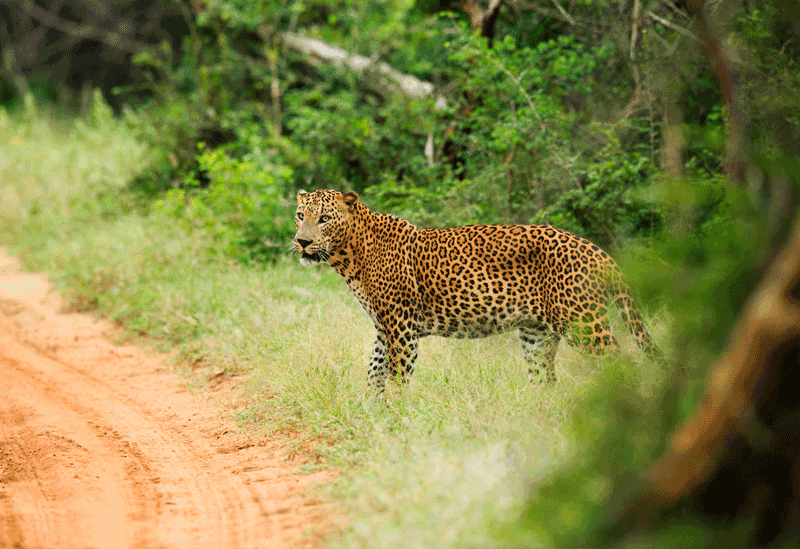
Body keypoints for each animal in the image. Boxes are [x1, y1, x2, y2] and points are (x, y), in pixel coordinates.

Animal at [292, 188, 664, 390]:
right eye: (299, 215)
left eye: (324, 218)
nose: (302, 242)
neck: (349, 255)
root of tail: (598, 251)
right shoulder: (384, 328)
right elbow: (374, 373)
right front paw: (371, 414)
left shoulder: (401, 326)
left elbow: (397, 376)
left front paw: (398, 418)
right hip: (537, 333)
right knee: (545, 379)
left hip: (583, 325)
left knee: (622, 363)